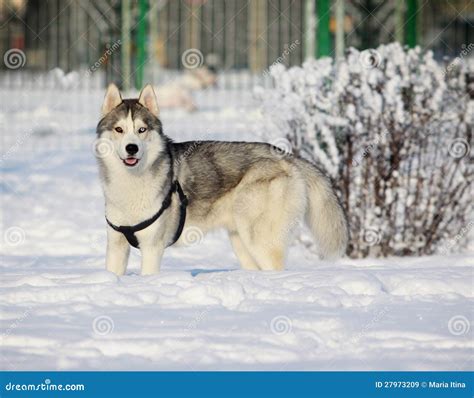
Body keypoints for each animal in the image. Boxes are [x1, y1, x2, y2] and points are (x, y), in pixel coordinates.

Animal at [96, 83, 348, 276]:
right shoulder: (116, 244)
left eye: (141, 130)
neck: (130, 184)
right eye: (119, 129)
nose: (131, 148)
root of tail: (287, 157)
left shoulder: (152, 247)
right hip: (241, 241)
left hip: (260, 241)